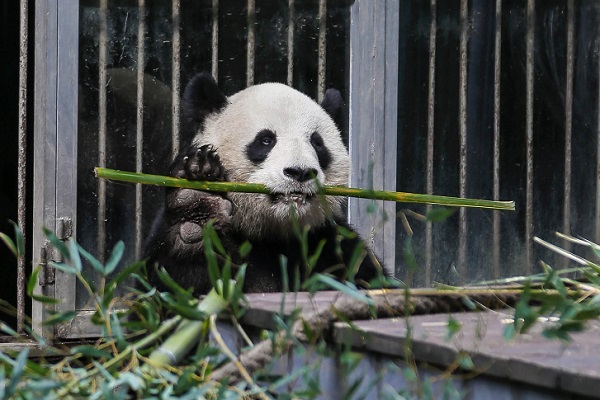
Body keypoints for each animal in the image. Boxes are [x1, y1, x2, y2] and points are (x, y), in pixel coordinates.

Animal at [143, 72, 386, 294]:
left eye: (317, 143)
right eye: (266, 140)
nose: (300, 172)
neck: (272, 233)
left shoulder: (331, 245)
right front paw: (196, 207)